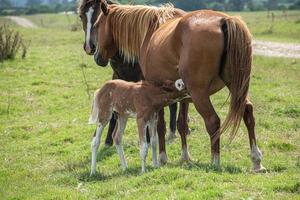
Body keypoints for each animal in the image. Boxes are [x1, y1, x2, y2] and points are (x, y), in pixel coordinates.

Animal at [78, 0, 190, 163]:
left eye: (98, 17)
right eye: (81, 16)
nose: (90, 47)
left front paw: (149, 138)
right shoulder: (118, 77)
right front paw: (108, 141)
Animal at [95, 0, 266, 172]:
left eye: (97, 25)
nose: (97, 57)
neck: (151, 30)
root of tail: (224, 20)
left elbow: (161, 126)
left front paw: (162, 158)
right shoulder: (183, 96)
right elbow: (181, 124)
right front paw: (185, 157)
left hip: (200, 94)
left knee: (213, 121)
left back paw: (215, 161)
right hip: (236, 86)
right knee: (247, 112)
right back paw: (256, 160)